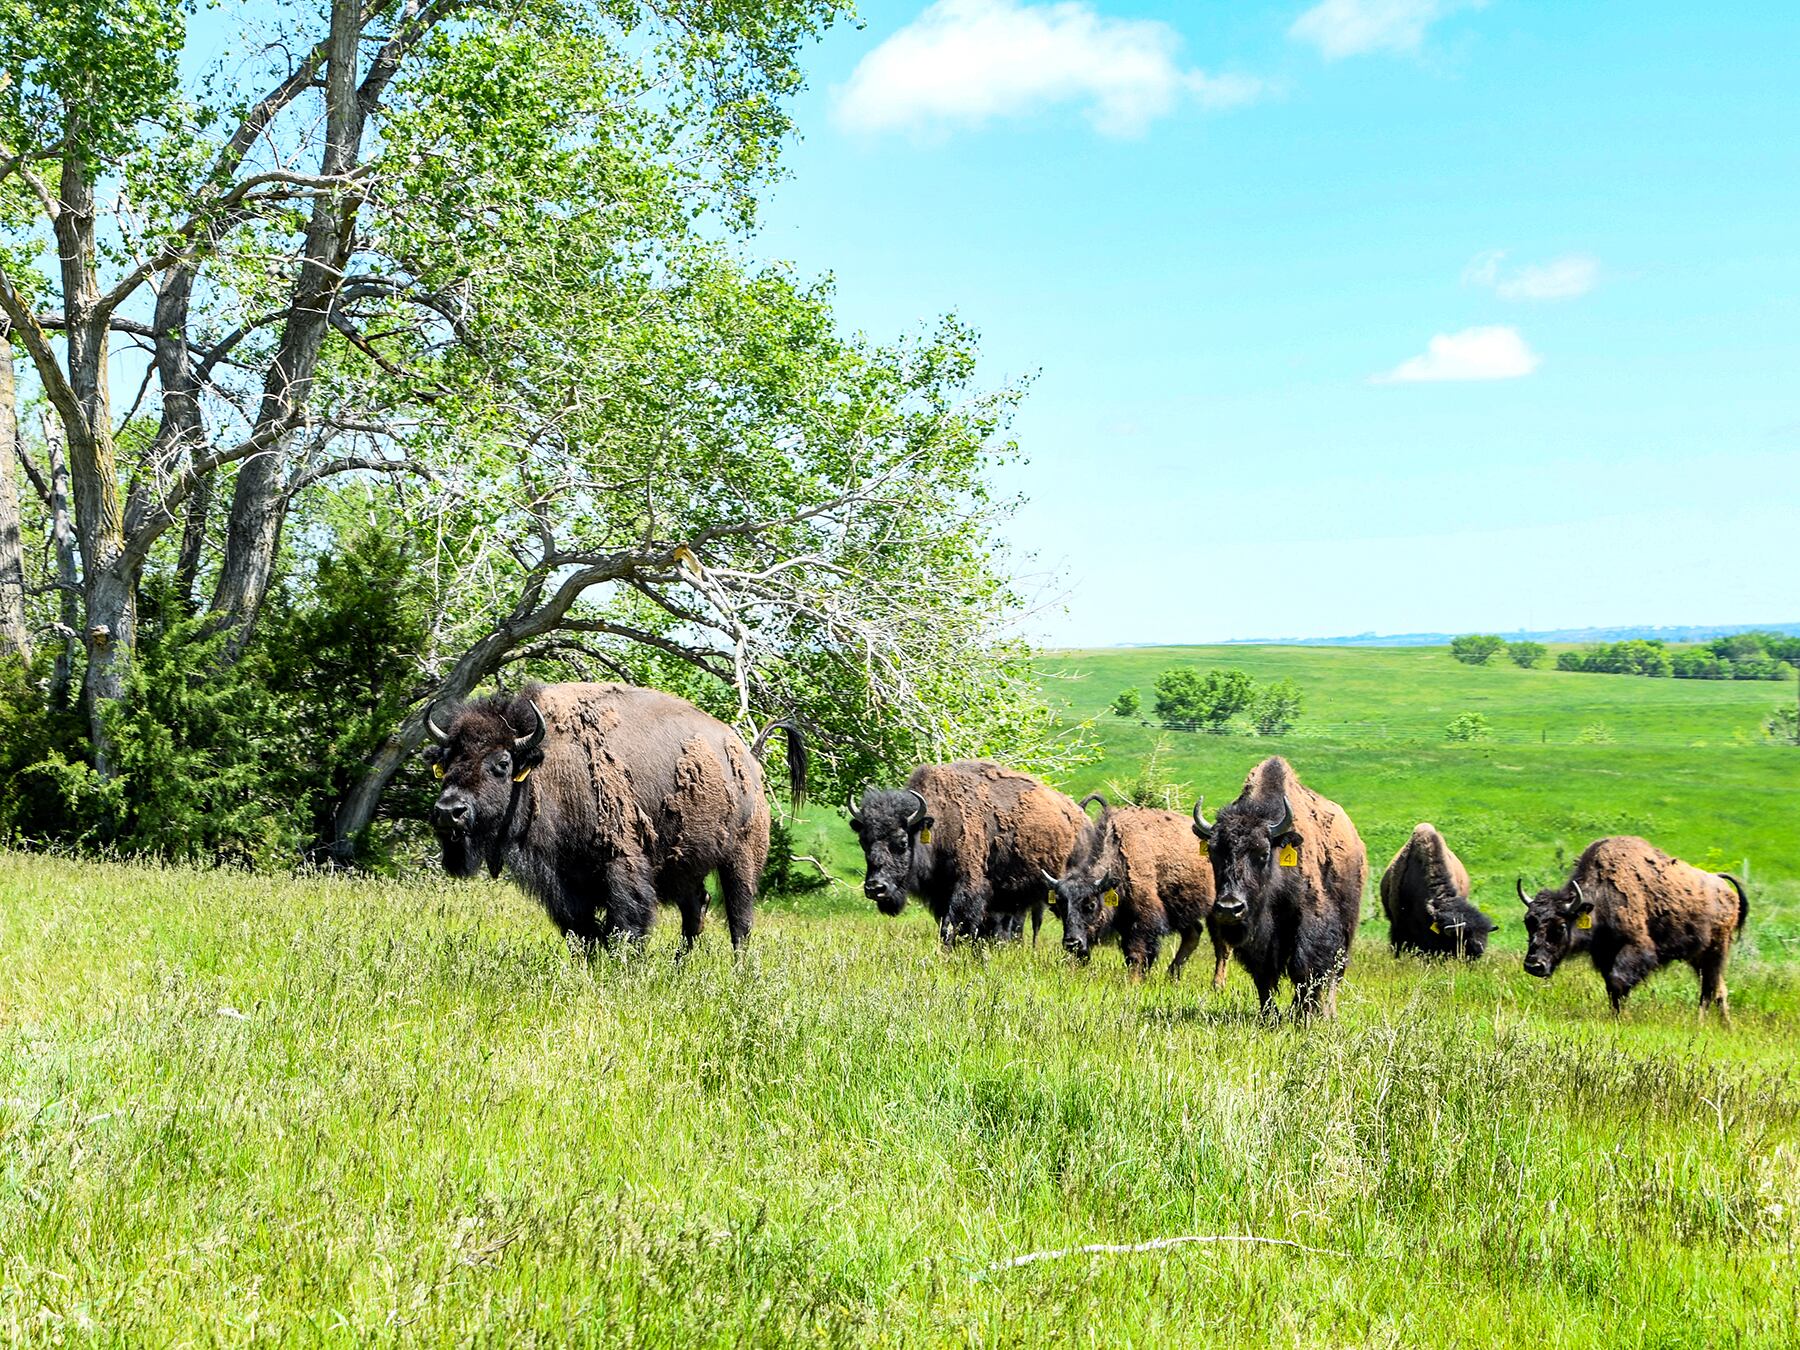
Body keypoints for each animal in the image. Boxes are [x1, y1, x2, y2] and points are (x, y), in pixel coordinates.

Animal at [425, 682, 805, 953]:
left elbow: (627, 923)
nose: (448, 812)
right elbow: (582, 930)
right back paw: (680, 968)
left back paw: (739, 971)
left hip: (740, 860)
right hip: (685, 864)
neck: (546, 766)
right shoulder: (565, 883)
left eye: (502, 763)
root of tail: (748, 756)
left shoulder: (621, 864)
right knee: (696, 909)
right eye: (446, 761)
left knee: (740, 920)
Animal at [848, 760, 1084, 945]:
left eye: (903, 842)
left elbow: (955, 925)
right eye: (863, 841)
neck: (940, 824)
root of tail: (1079, 816)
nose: (875, 888)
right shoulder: (940, 894)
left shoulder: (967, 887)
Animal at [1049, 794, 1229, 985]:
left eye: (1090, 905)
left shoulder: (1143, 919)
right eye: (1061, 906)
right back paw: (1171, 975)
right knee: (1193, 933)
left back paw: (1217, 984)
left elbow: (1137, 952)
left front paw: (1133, 982)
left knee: (1221, 945)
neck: (1119, 858)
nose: (1072, 942)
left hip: (1216, 910)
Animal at [1191, 756, 1366, 1019]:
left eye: (1263, 853)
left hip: (1347, 923)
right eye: (1213, 853)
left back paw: (1328, 1012)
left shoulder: (1311, 922)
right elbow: (1263, 974)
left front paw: (1302, 1015)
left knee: (1336, 970)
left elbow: (1304, 968)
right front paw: (1271, 1016)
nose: (1230, 908)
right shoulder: (1259, 938)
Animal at [1519, 836, 1748, 1019]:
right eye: (1528, 922)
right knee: (1719, 989)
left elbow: (1618, 981)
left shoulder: (1637, 947)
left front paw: (1622, 1018)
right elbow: (1612, 987)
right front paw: (1616, 1016)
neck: (1601, 898)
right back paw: (1726, 1027)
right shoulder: (1605, 955)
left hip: (1715, 951)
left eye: (1561, 926)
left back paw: (1699, 1024)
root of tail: (1723, 886)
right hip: (1698, 957)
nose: (1534, 965)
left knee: (1709, 990)